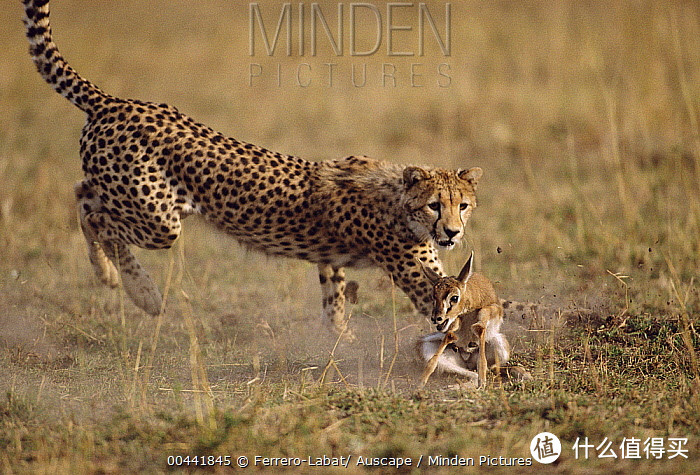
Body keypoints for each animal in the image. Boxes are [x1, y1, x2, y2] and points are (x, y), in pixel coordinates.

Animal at [21, 0, 482, 334]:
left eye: (463, 206)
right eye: (435, 205)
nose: (453, 233)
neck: (399, 199)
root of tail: (115, 102)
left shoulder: (336, 259)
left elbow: (333, 297)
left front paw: (339, 338)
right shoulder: (414, 272)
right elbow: (452, 307)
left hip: (130, 199)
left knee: (82, 195)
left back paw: (112, 278)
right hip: (159, 221)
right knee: (100, 219)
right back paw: (142, 293)